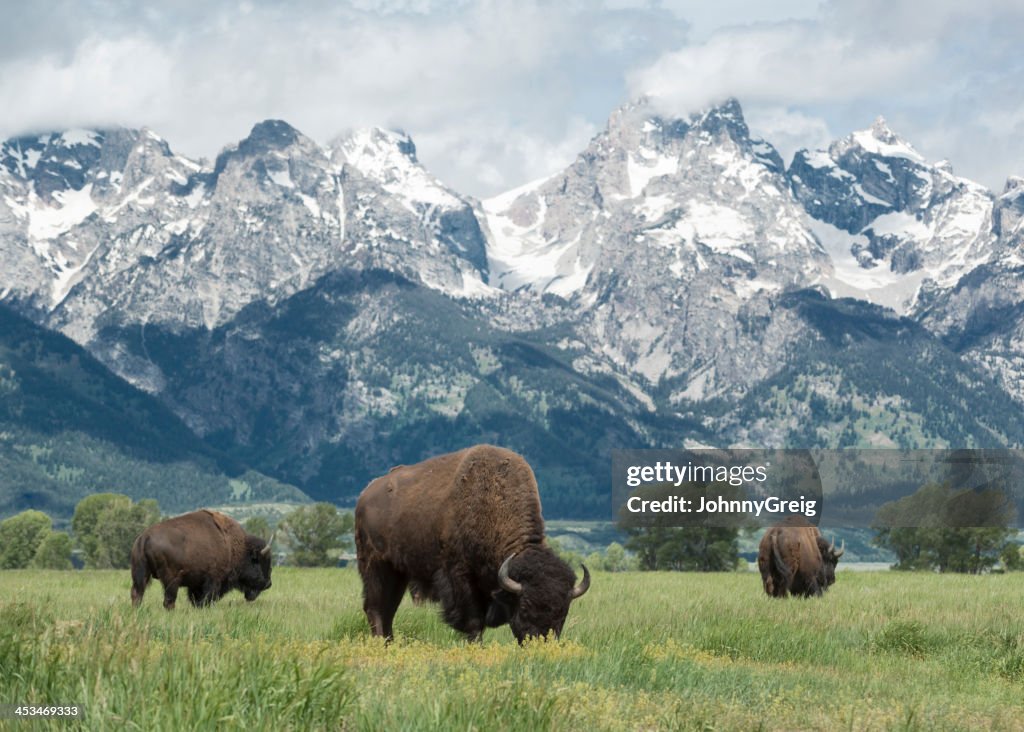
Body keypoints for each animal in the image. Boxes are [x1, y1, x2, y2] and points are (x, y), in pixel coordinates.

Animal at [130, 507, 274, 610]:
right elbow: (206, 598)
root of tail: (144, 537)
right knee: (168, 600)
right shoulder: (213, 580)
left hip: (140, 574)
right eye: (259, 562)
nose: (268, 584)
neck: (236, 547)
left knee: (137, 594)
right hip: (171, 580)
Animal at [354, 444, 589, 642]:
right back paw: (380, 642)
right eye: (524, 607)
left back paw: (389, 643)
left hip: (398, 573)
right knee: (375, 607)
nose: (540, 642)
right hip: (375, 566)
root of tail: (365, 495)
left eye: (563, 611)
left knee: (388, 608)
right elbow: (474, 621)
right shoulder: (461, 577)